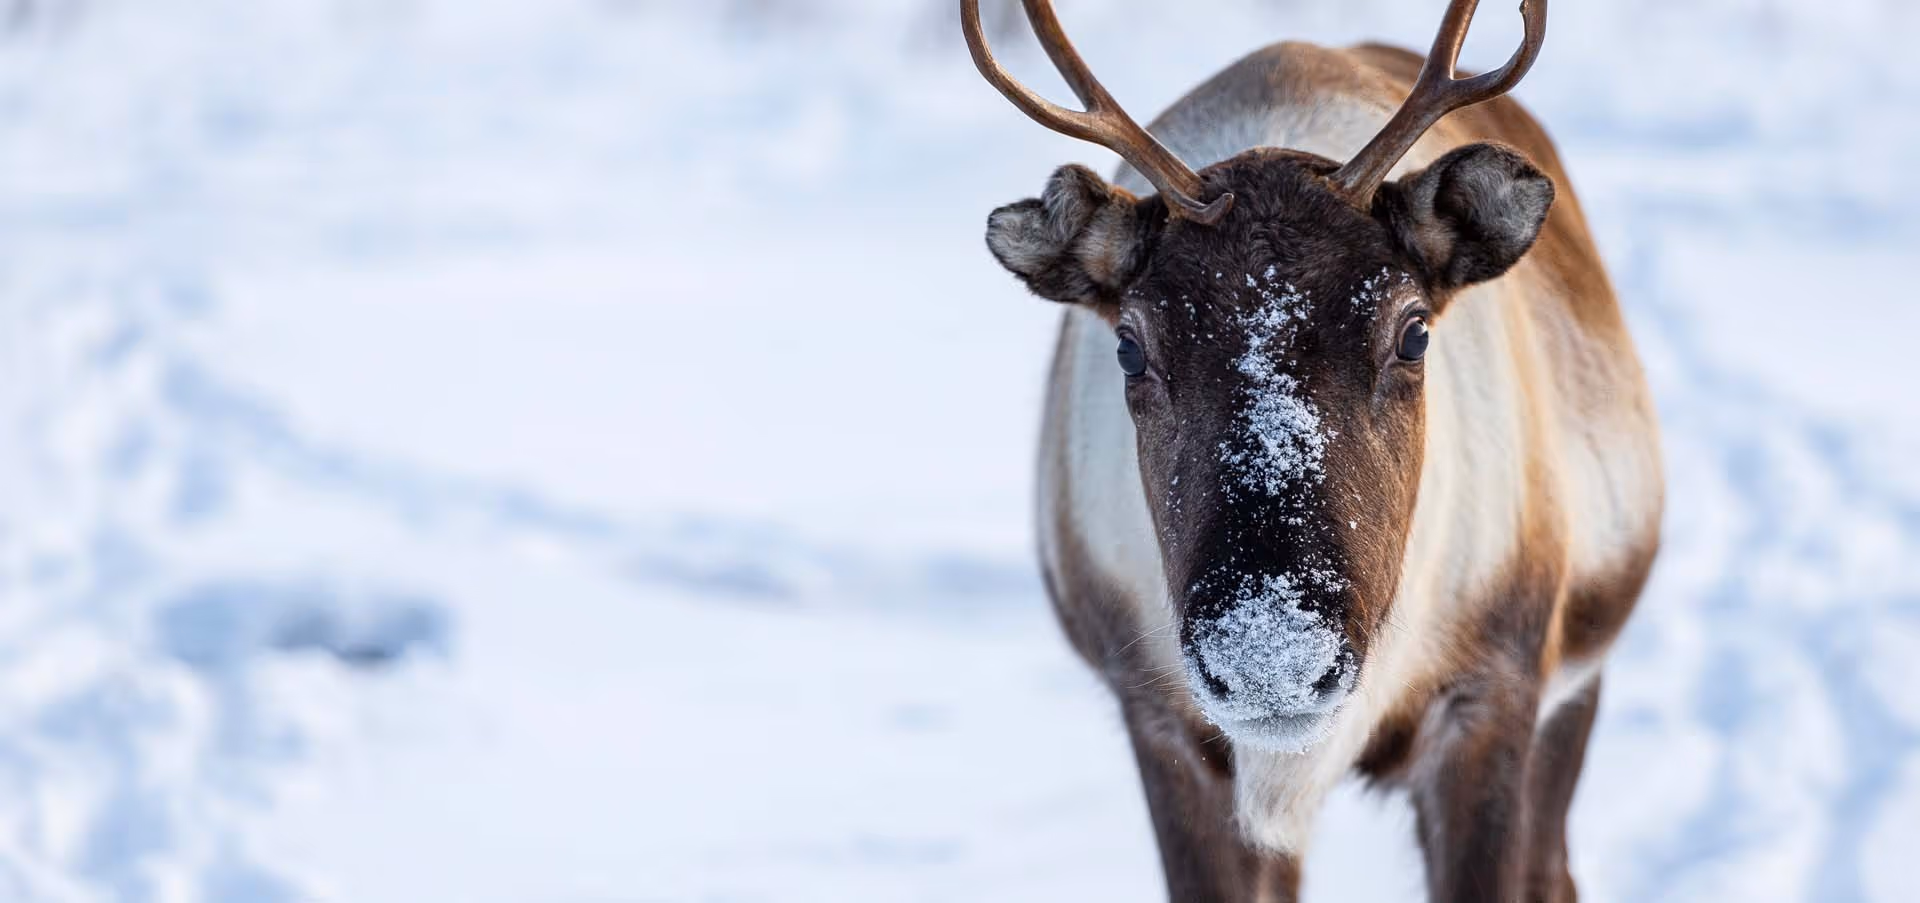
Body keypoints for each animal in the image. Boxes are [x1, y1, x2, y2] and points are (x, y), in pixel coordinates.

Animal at [963, 0, 1662, 900]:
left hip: (1578, 677)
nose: (1273, 658)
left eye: (1414, 331)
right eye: (1128, 345)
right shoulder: (1160, 716)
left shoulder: (1497, 683)